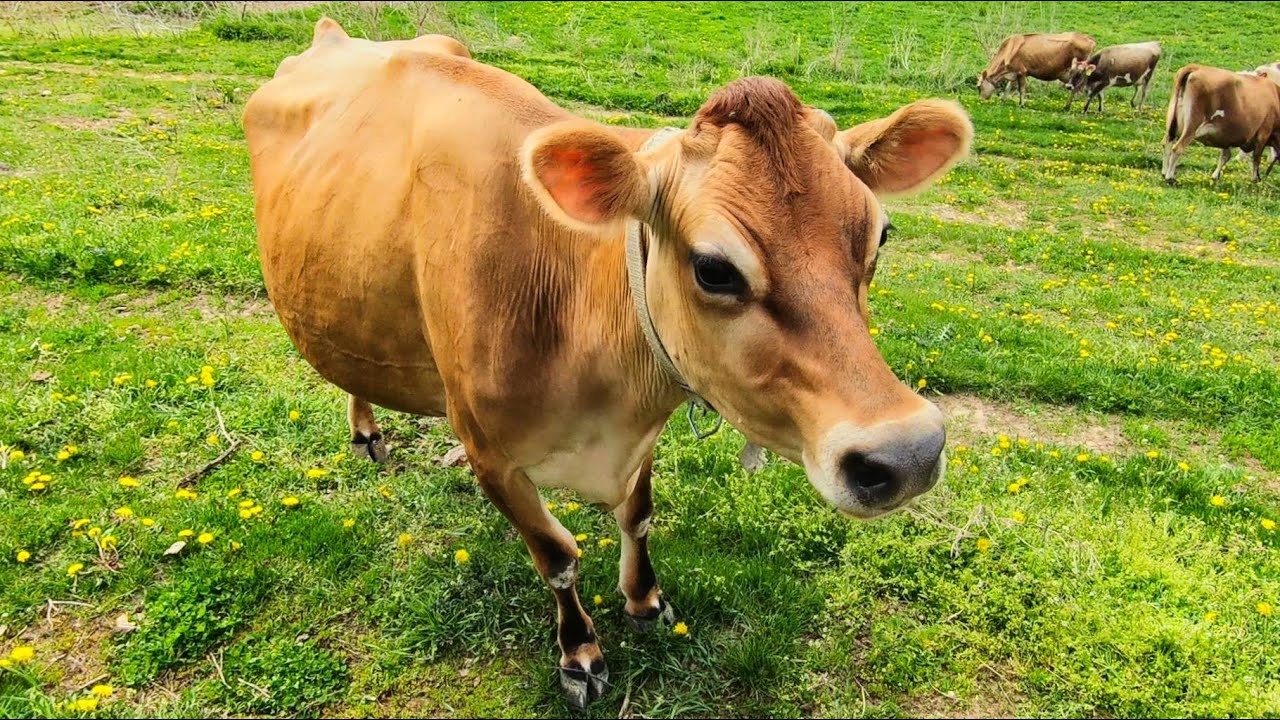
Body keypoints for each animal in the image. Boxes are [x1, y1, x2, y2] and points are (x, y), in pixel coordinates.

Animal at [244, 17, 972, 709]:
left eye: (880, 236)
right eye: (714, 269)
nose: (907, 455)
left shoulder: (644, 432)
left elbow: (638, 515)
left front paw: (644, 599)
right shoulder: (492, 456)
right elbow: (558, 557)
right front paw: (580, 654)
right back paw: (366, 429)